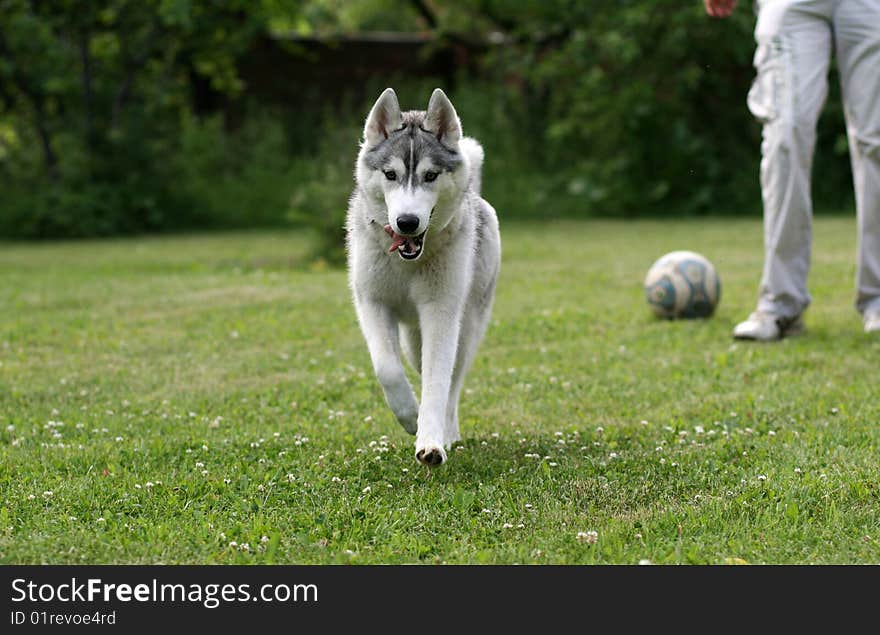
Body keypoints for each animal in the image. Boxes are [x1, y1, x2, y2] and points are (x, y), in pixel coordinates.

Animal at [346, 88, 502, 468]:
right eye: (390, 174)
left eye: (430, 176)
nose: (407, 222)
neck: (406, 264)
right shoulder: (372, 303)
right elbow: (387, 369)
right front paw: (408, 416)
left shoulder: (441, 312)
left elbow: (437, 382)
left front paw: (430, 441)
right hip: (410, 339)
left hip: (468, 326)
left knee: (454, 382)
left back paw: (448, 431)